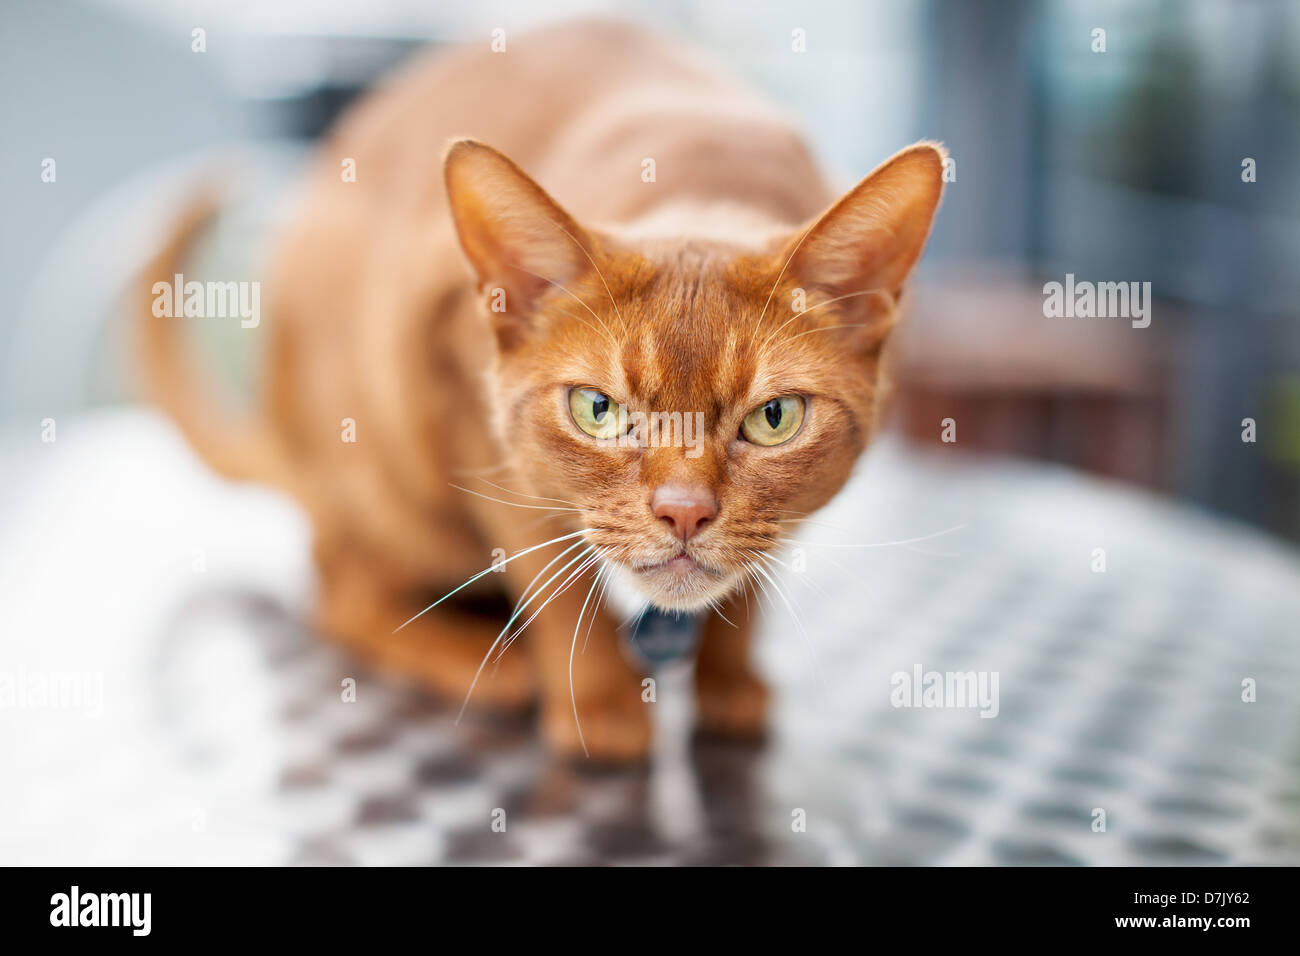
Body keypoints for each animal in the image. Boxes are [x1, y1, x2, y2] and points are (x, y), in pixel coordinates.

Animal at [139, 18, 946, 759]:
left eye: (774, 418)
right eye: (598, 410)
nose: (684, 513)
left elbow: (749, 573)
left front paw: (728, 677)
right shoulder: (465, 408)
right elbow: (552, 583)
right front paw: (600, 703)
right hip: (381, 470)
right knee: (340, 587)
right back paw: (479, 658)